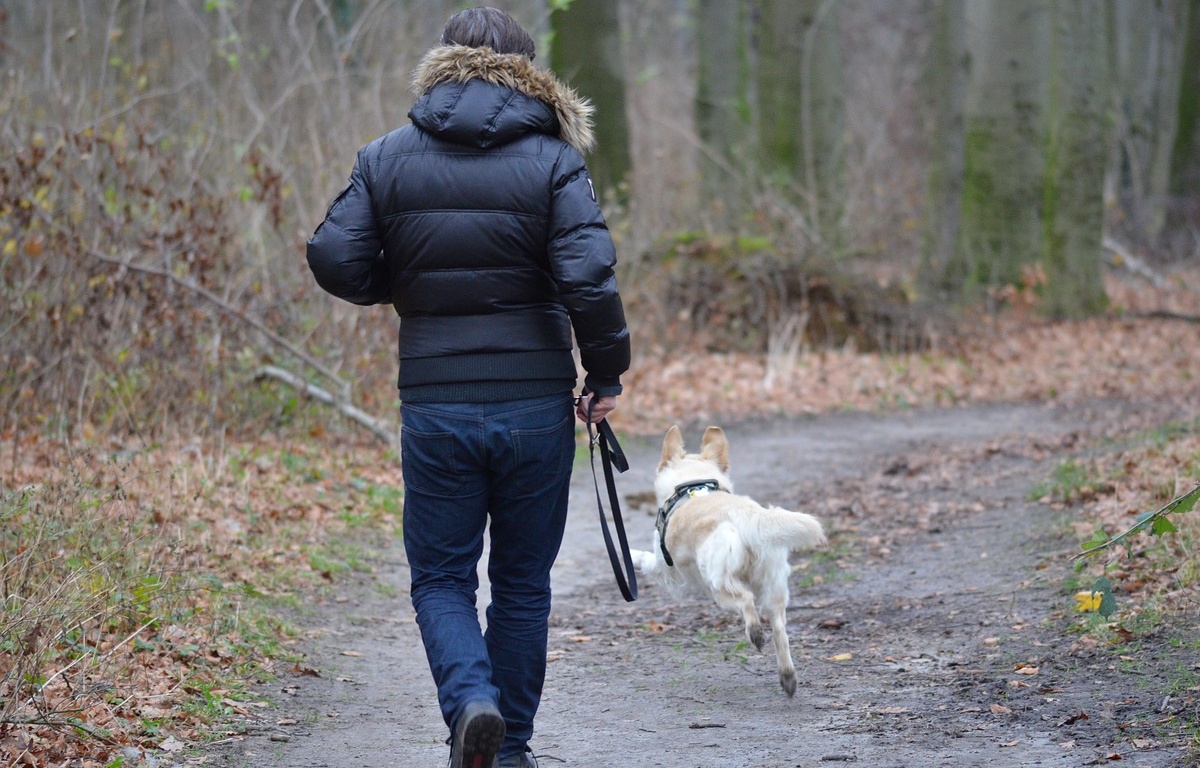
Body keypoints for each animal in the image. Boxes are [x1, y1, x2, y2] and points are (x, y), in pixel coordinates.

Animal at [633, 427, 830, 696]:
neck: (693, 484)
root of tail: (747, 515)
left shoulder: (666, 568)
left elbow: (645, 558)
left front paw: (629, 555)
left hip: (718, 586)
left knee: (746, 601)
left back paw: (756, 635)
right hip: (774, 586)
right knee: (779, 630)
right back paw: (787, 677)